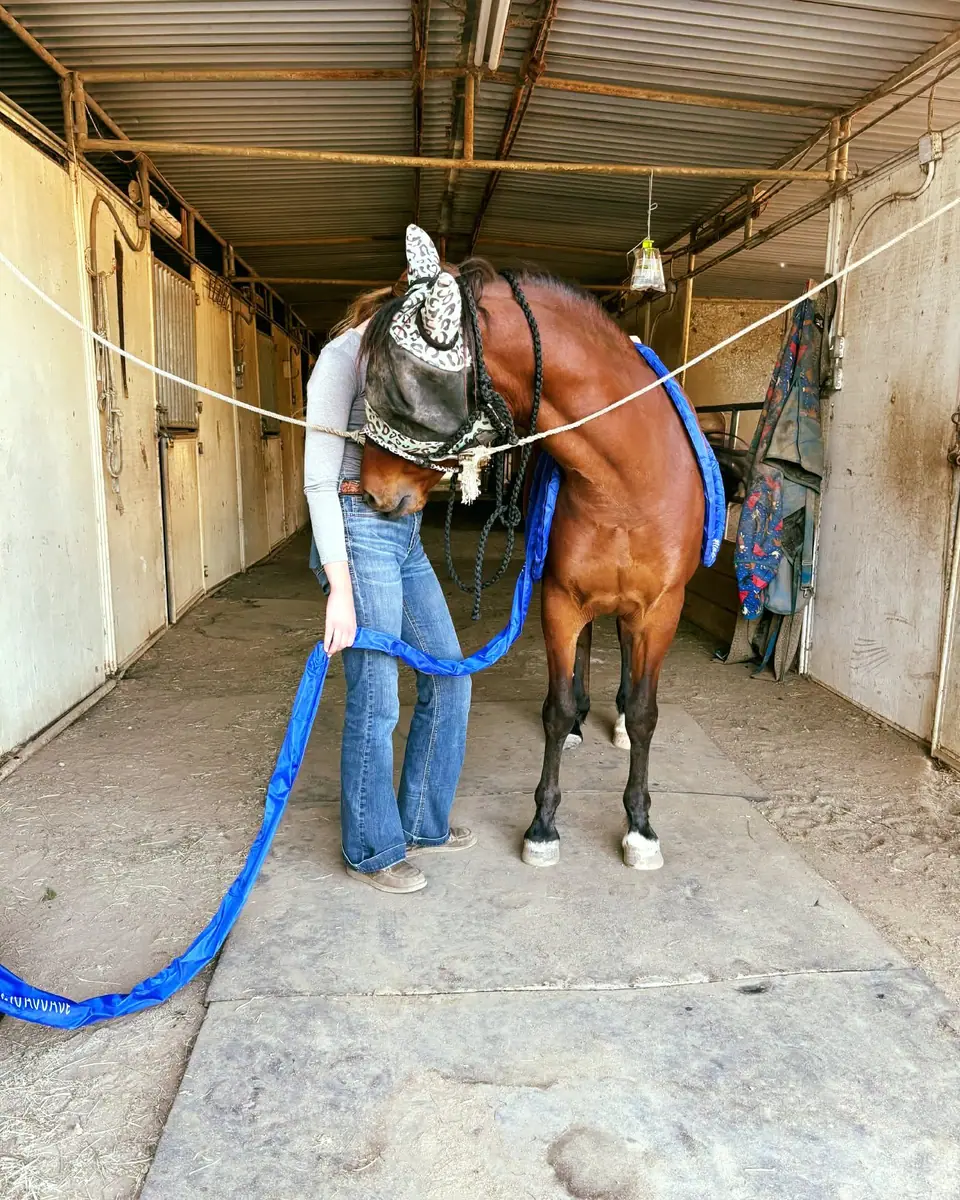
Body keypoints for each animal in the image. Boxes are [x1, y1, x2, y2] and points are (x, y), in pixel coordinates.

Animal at [358, 227, 708, 871]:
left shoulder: (661, 610)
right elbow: (555, 707)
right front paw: (543, 825)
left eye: (398, 385)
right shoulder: (560, 599)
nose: (373, 493)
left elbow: (648, 713)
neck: (628, 485)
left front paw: (640, 827)